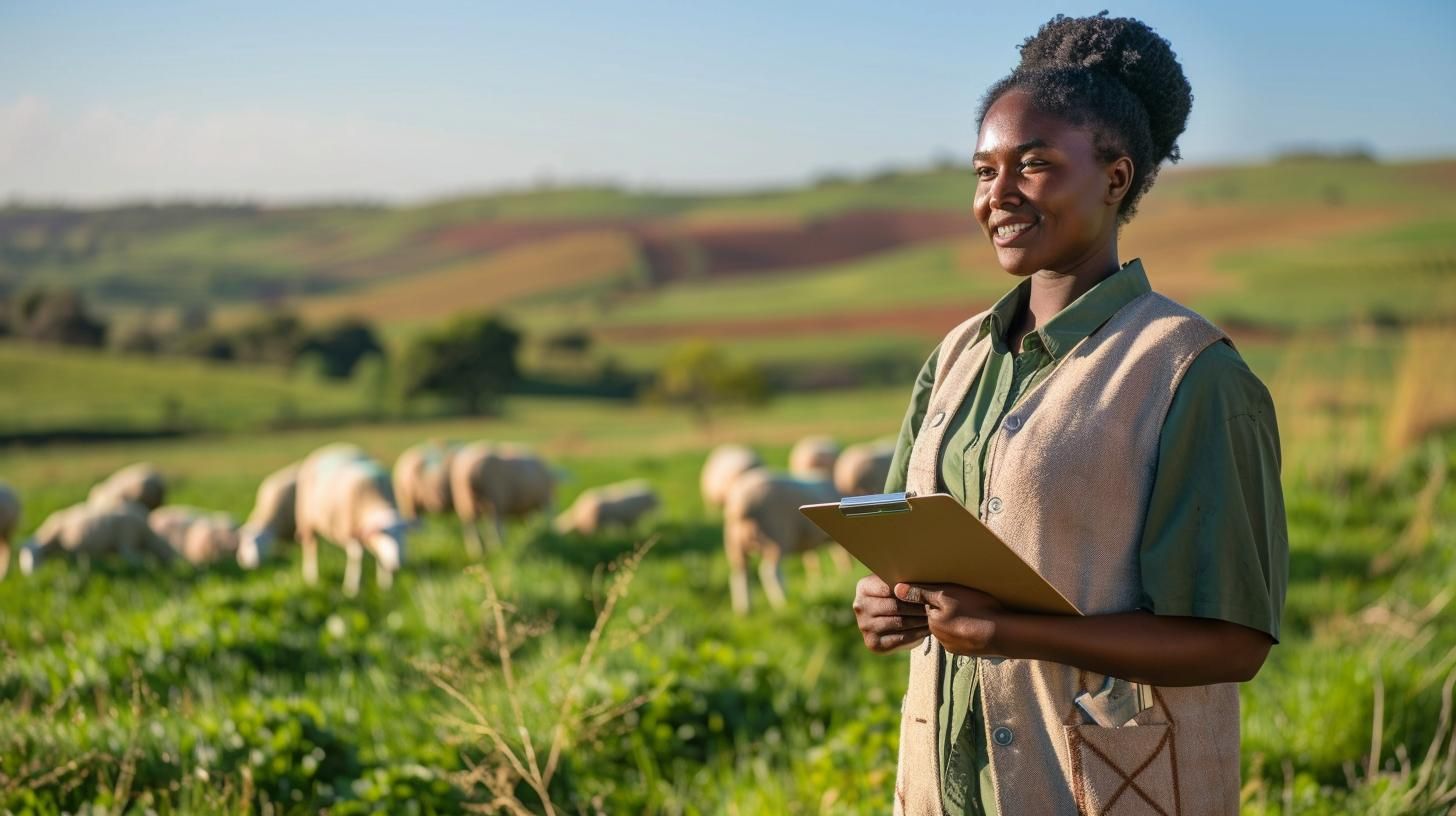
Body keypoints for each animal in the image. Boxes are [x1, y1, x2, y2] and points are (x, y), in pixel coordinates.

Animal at [295, 442, 407, 597]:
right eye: (383, 535)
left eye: (404, 535)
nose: (396, 565)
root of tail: (332, 447)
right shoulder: (350, 532)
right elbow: (356, 558)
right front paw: (352, 589)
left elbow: (380, 558)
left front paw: (385, 587)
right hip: (307, 522)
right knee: (311, 548)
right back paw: (311, 578)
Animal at [716, 469, 844, 614]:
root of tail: (740, 506)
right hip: (775, 537)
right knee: (770, 572)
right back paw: (782, 602)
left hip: (735, 543)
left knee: (740, 574)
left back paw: (744, 609)